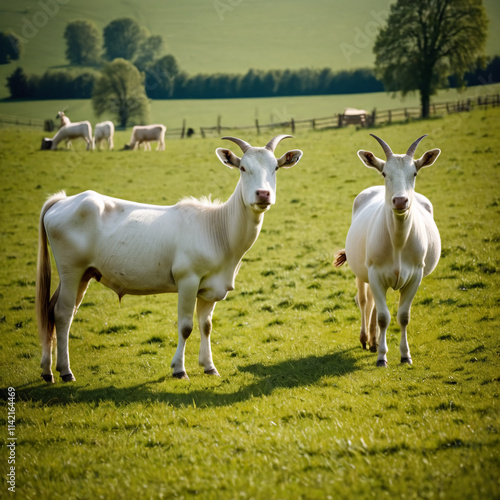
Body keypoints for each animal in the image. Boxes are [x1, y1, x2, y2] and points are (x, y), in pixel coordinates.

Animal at [36, 135, 300, 380]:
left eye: (275, 168)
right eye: (243, 168)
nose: (263, 194)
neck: (218, 229)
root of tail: (63, 200)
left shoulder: (211, 288)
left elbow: (206, 326)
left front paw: (209, 366)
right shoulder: (188, 280)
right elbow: (186, 327)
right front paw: (179, 369)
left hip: (85, 273)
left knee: (54, 310)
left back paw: (48, 370)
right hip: (71, 269)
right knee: (63, 312)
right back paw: (66, 371)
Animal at [334, 133, 440, 368]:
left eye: (414, 173)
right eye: (384, 173)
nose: (400, 200)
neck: (398, 243)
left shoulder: (416, 274)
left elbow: (403, 316)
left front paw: (405, 355)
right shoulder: (374, 272)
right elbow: (383, 316)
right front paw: (382, 357)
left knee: (374, 303)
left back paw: (373, 341)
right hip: (361, 271)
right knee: (365, 301)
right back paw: (366, 339)